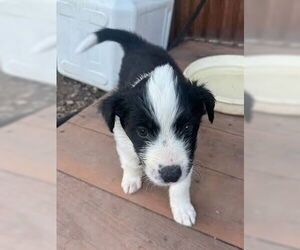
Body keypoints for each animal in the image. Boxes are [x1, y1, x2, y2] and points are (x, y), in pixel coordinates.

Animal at [76, 28, 214, 227]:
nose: (170, 174)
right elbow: (130, 161)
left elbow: (182, 183)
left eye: (188, 127)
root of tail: (141, 43)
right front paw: (131, 180)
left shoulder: (189, 154)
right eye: (142, 131)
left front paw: (182, 208)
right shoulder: (121, 136)